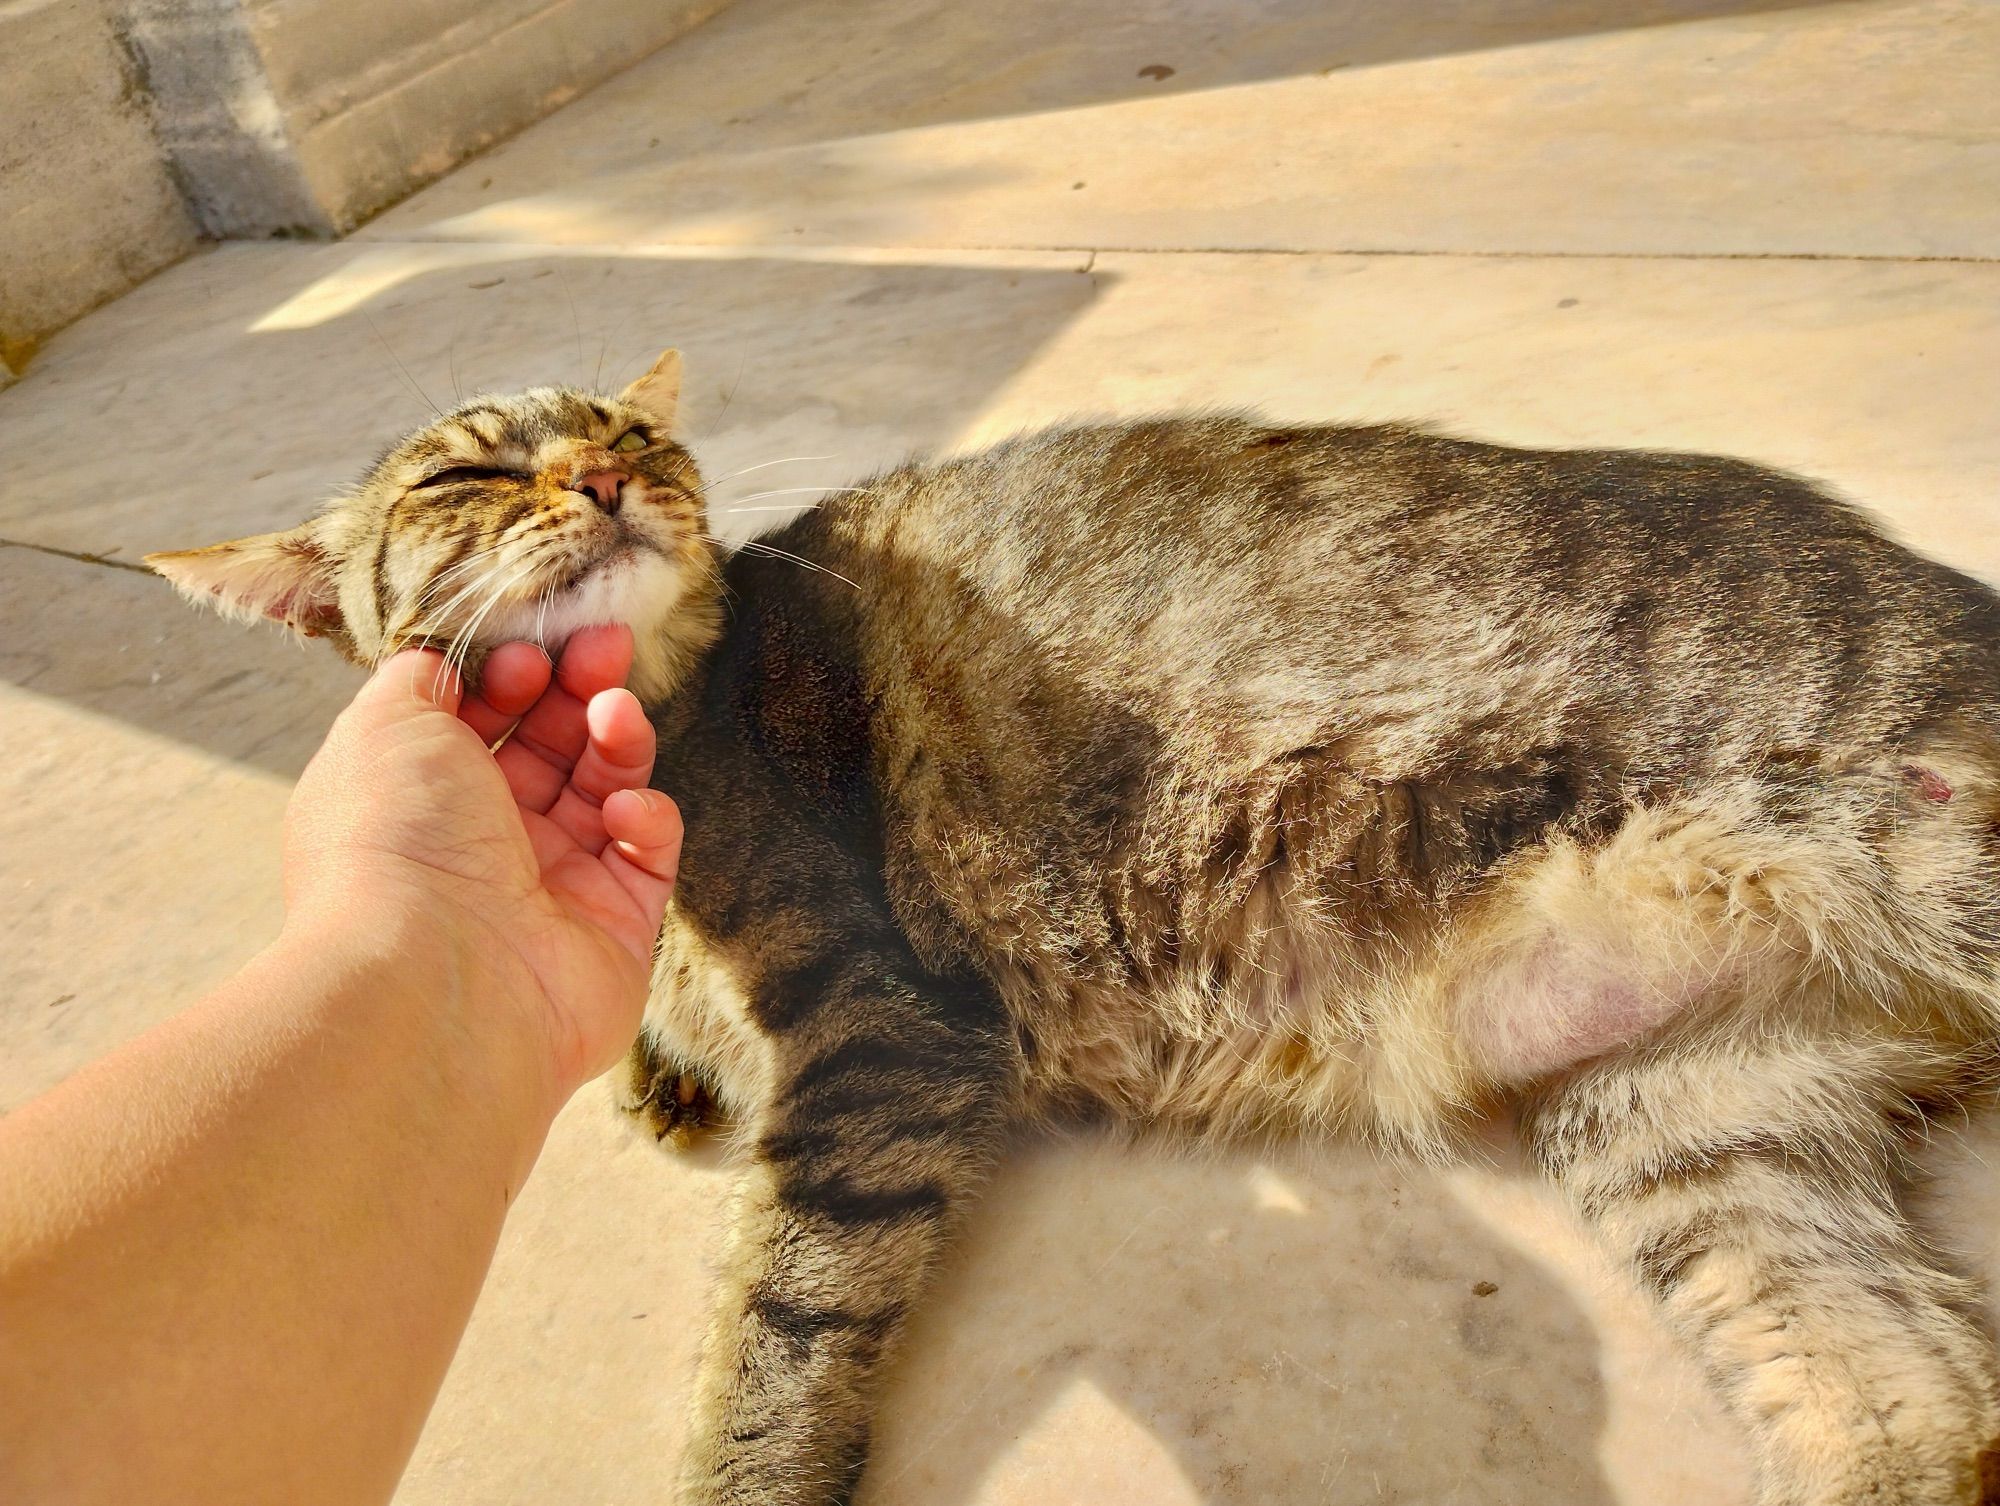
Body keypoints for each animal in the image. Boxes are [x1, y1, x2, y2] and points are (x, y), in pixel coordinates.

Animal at [148, 346, 2000, 1496]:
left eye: (635, 428)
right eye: (467, 468)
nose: (610, 467)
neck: (676, 707)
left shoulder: (884, 1038)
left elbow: (776, 1323)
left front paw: (742, 1467)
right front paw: (655, 1064)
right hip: (1698, 1129)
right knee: (1913, 1409)